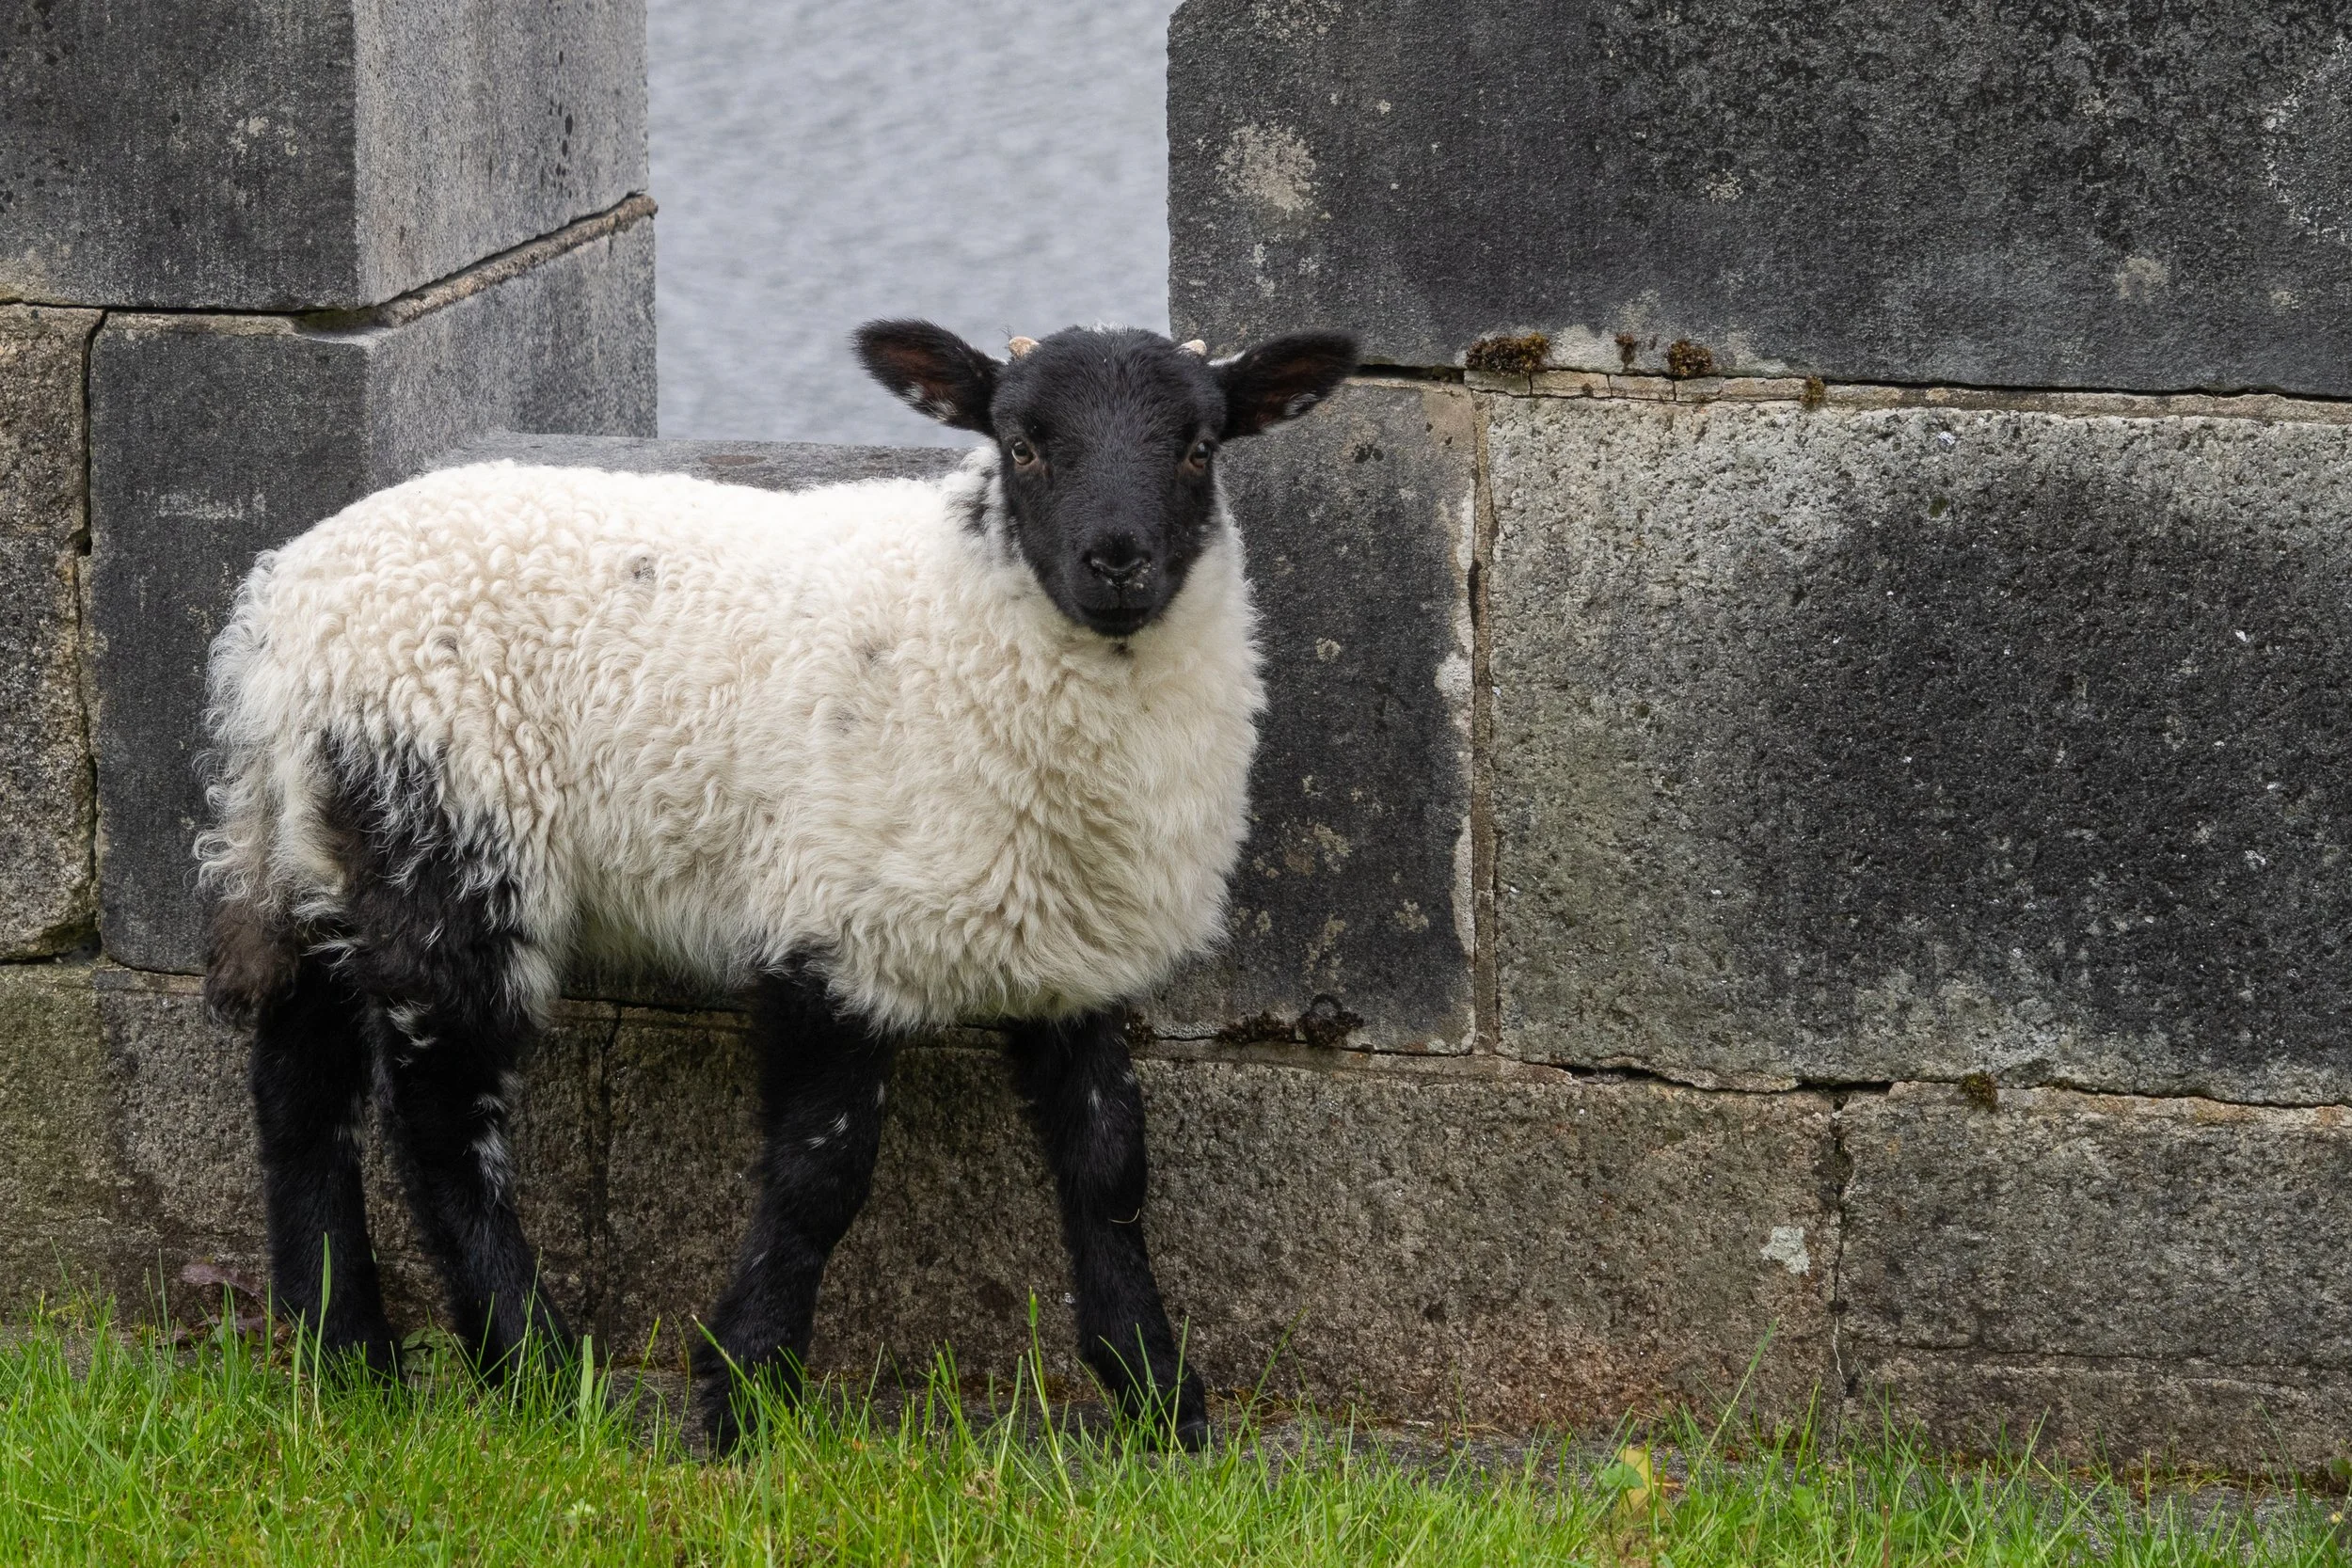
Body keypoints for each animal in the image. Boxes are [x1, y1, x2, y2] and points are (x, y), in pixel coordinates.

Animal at [197, 318, 1358, 1450]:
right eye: (1022, 443)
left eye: (1199, 445)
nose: (1114, 562)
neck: (961, 619)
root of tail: (276, 614)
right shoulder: (833, 921)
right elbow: (819, 1178)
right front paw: (742, 1392)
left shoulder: (1071, 944)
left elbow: (1111, 1165)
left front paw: (1160, 1394)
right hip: (452, 832)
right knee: (438, 1122)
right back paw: (533, 1367)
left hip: (331, 845)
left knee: (299, 1081)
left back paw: (345, 1354)